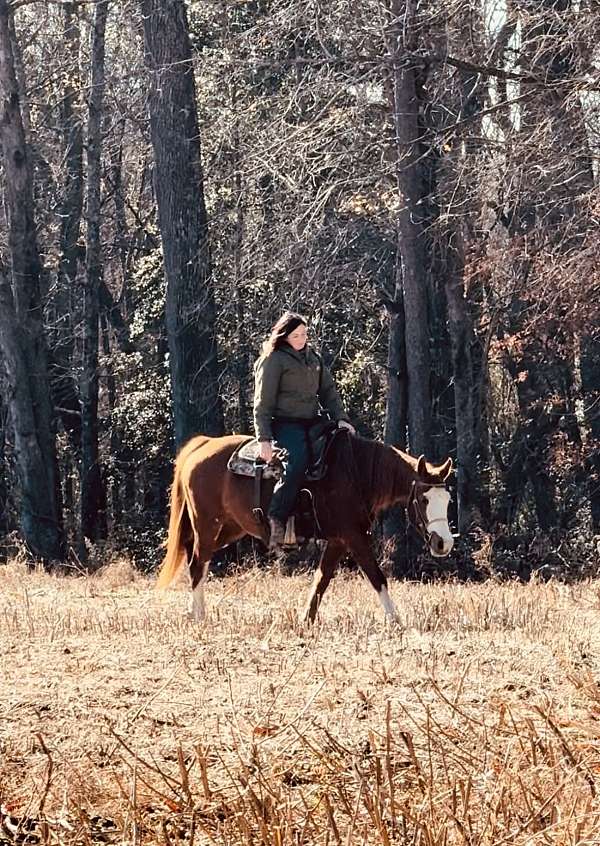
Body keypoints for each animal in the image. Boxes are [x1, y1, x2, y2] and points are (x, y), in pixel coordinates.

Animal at [157, 438, 452, 624]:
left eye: (447, 499)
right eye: (424, 499)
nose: (443, 544)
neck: (356, 471)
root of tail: (202, 444)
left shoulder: (338, 541)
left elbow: (322, 579)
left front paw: (306, 620)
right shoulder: (353, 537)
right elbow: (376, 576)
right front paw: (396, 620)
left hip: (230, 527)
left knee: (199, 560)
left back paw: (193, 611)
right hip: (208, 524)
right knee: (197, 563)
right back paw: (199, 616)